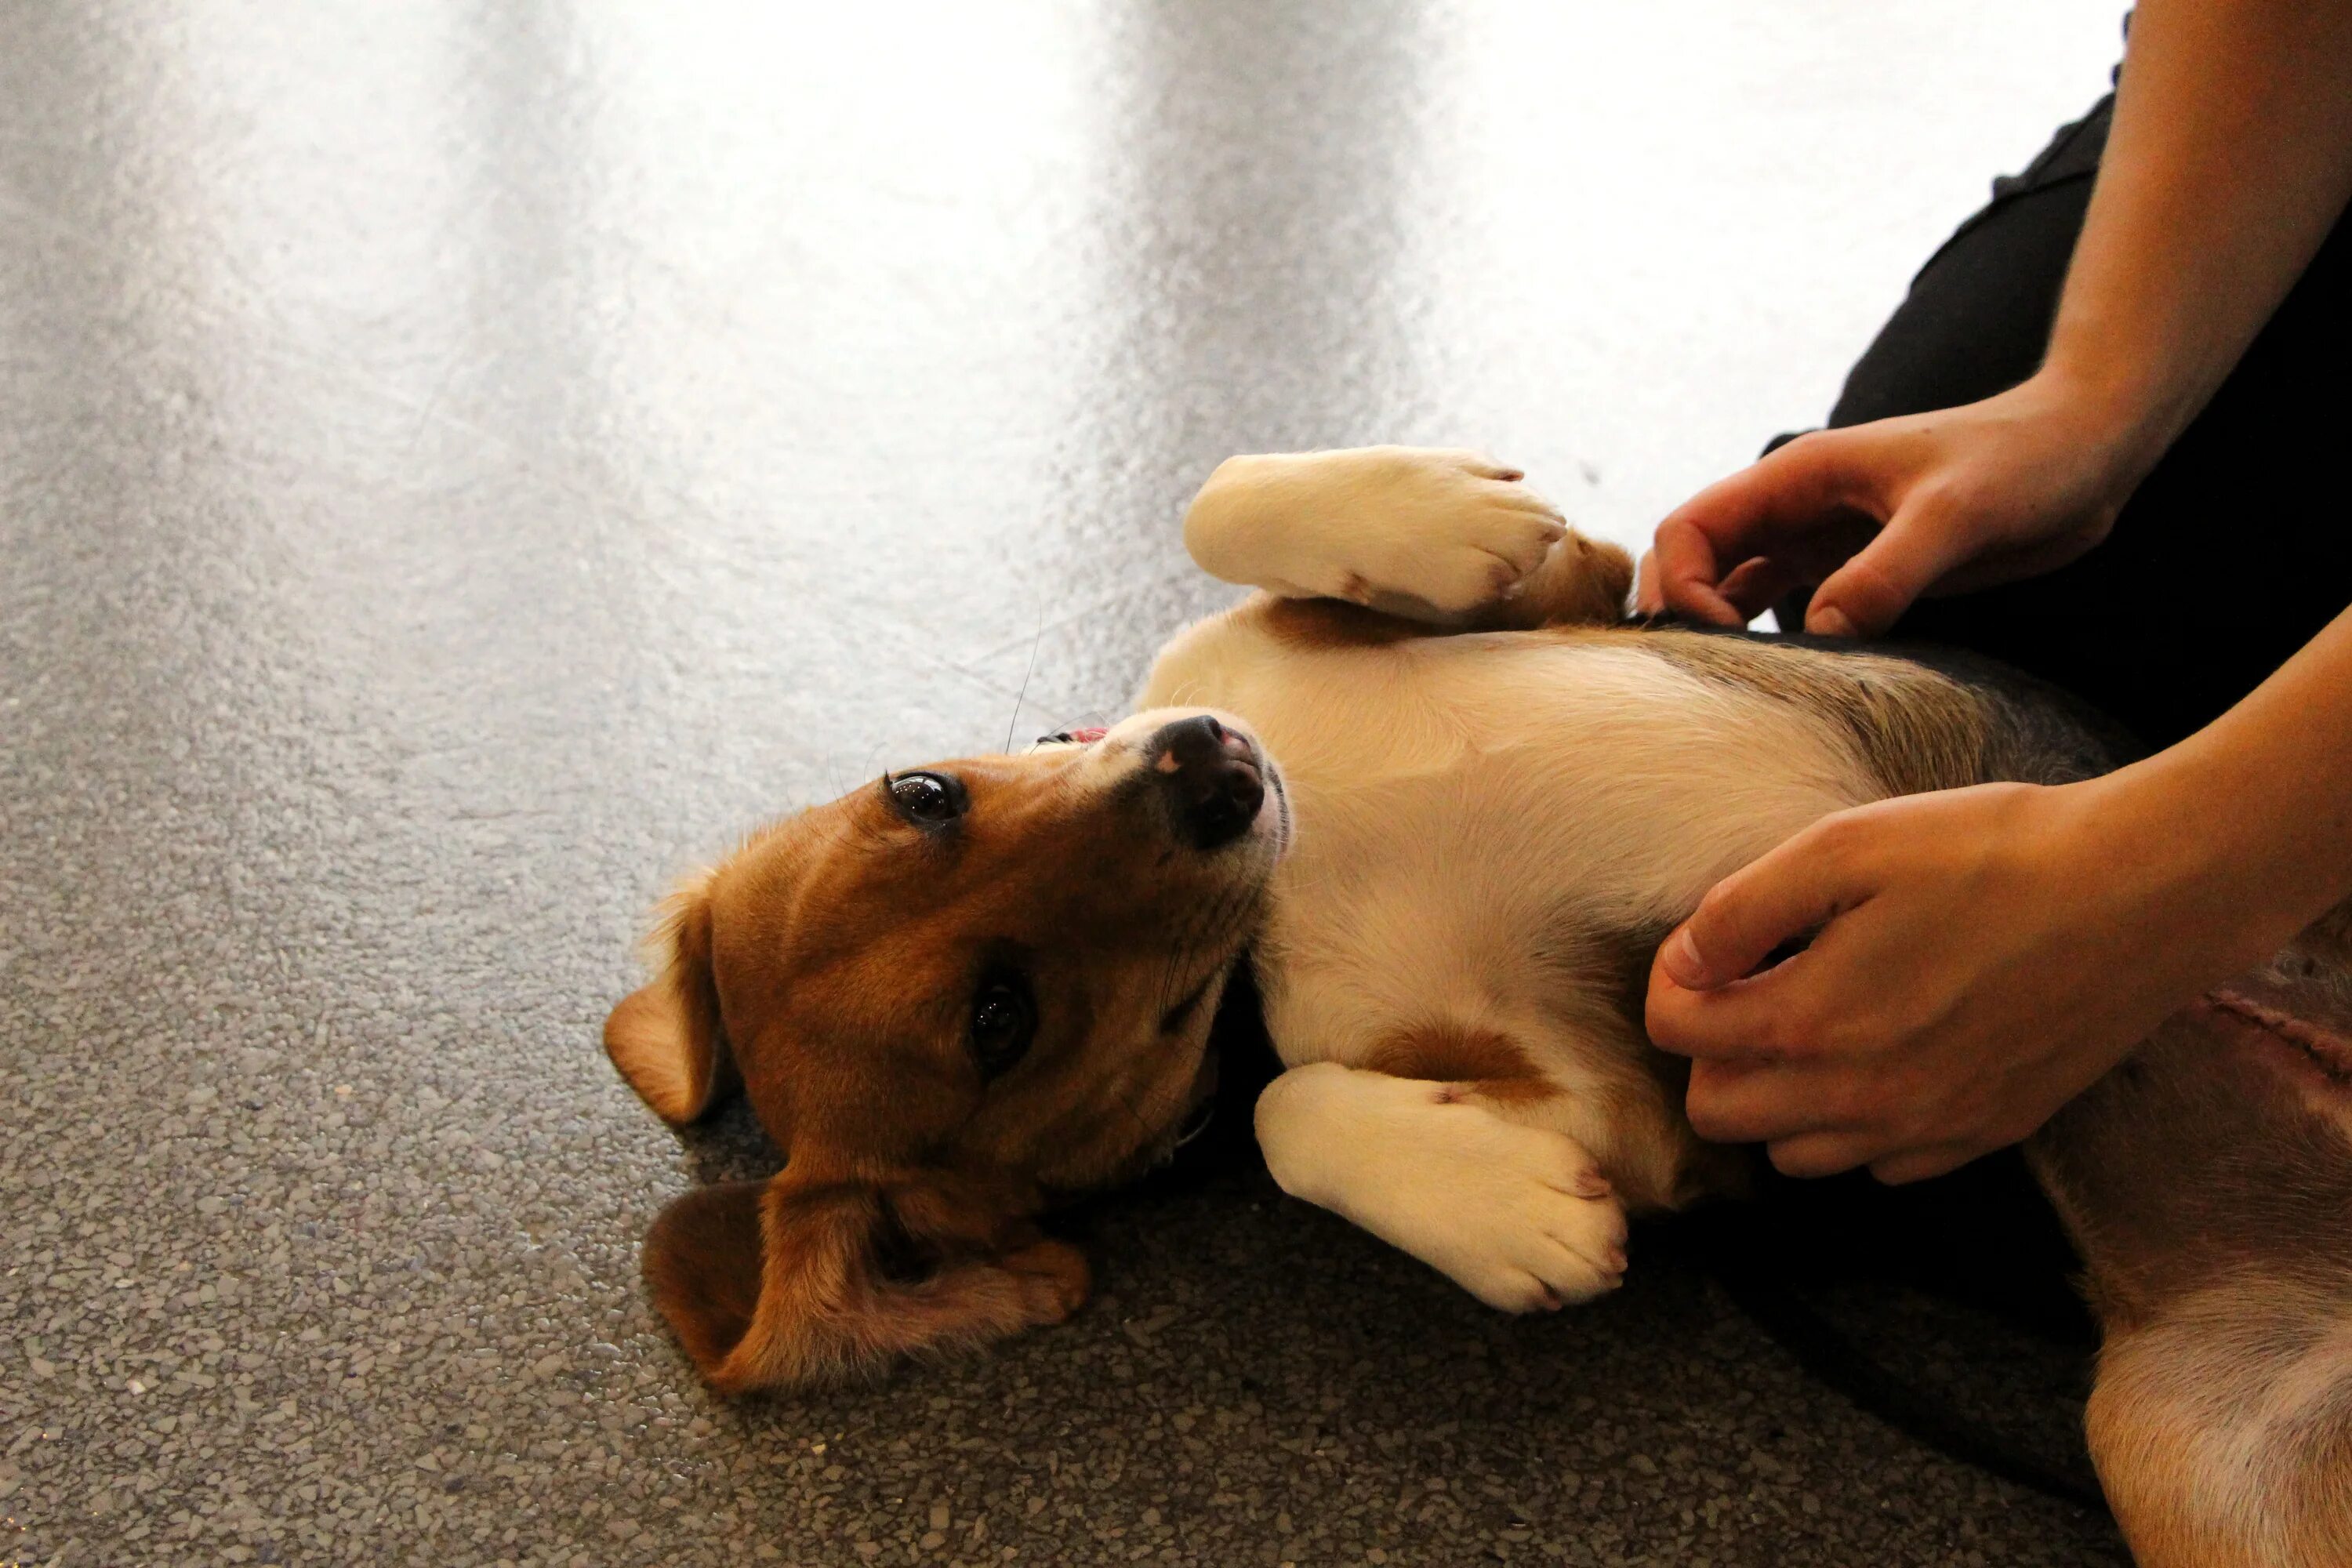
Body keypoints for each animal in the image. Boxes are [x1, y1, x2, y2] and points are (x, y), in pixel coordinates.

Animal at [612, 446, 2352, 1561]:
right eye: (998, 1016)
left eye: (923, 793)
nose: (1210, 767)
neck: (1283, 898)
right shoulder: (1647, 1110)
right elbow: (1292, 1105)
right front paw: (1512, 1217)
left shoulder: (1570, 592)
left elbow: (1228, 491)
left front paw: (1454, 514)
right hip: (2193, 1462)